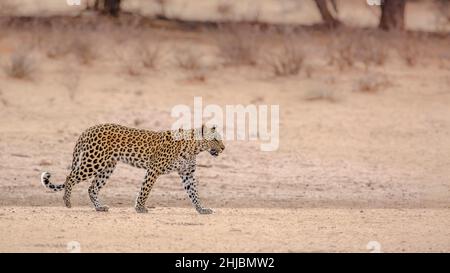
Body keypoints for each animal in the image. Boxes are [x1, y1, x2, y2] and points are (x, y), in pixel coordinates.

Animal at [40, 122, 225, 214]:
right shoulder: (154, 169)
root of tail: (88, 129)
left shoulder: (187, 174)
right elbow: (145, 189)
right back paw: (67, 202)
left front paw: (202, 209)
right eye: (215, 139)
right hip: (94, 161)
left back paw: (99, 207)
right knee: (70, 177)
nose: (223, 148)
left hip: (107, 167)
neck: (193, 148)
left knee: (92, 188)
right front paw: (140, 208)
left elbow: (194, 193)